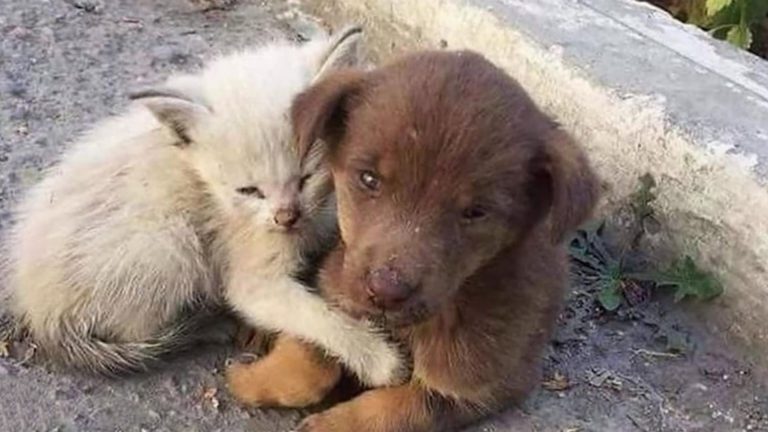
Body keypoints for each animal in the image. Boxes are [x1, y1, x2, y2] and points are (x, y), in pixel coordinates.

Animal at [228, 49, 600, 428]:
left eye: (476, 212)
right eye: (368, 179)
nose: (385, 291)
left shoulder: (478, 383)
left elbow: (395, 409)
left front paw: (329, 425)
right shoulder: (335, 284)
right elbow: (312, 356)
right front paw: (249, 379)